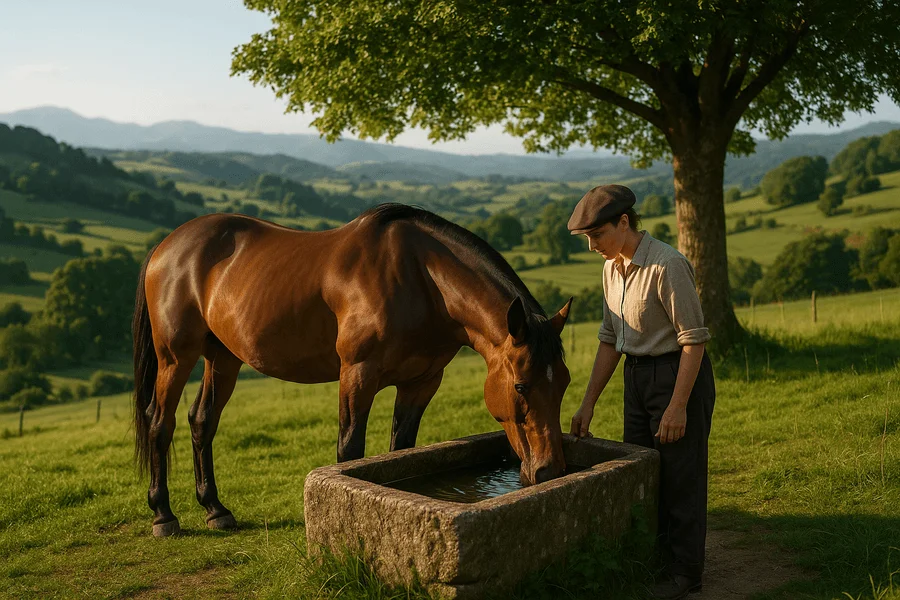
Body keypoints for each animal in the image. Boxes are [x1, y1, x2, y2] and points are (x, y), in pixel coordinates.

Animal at [133, 203, 573, 537]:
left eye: (564, 384)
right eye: (521, 386)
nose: (550, 470)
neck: (420, 277)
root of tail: (166, 246)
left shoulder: (421, 383)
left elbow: (402, 450)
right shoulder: (357, 376)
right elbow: (350, 452)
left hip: (222, 358)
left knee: (201, 421)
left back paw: (215, 509)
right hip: (175, 358)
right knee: (160, 422)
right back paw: (163, 515)